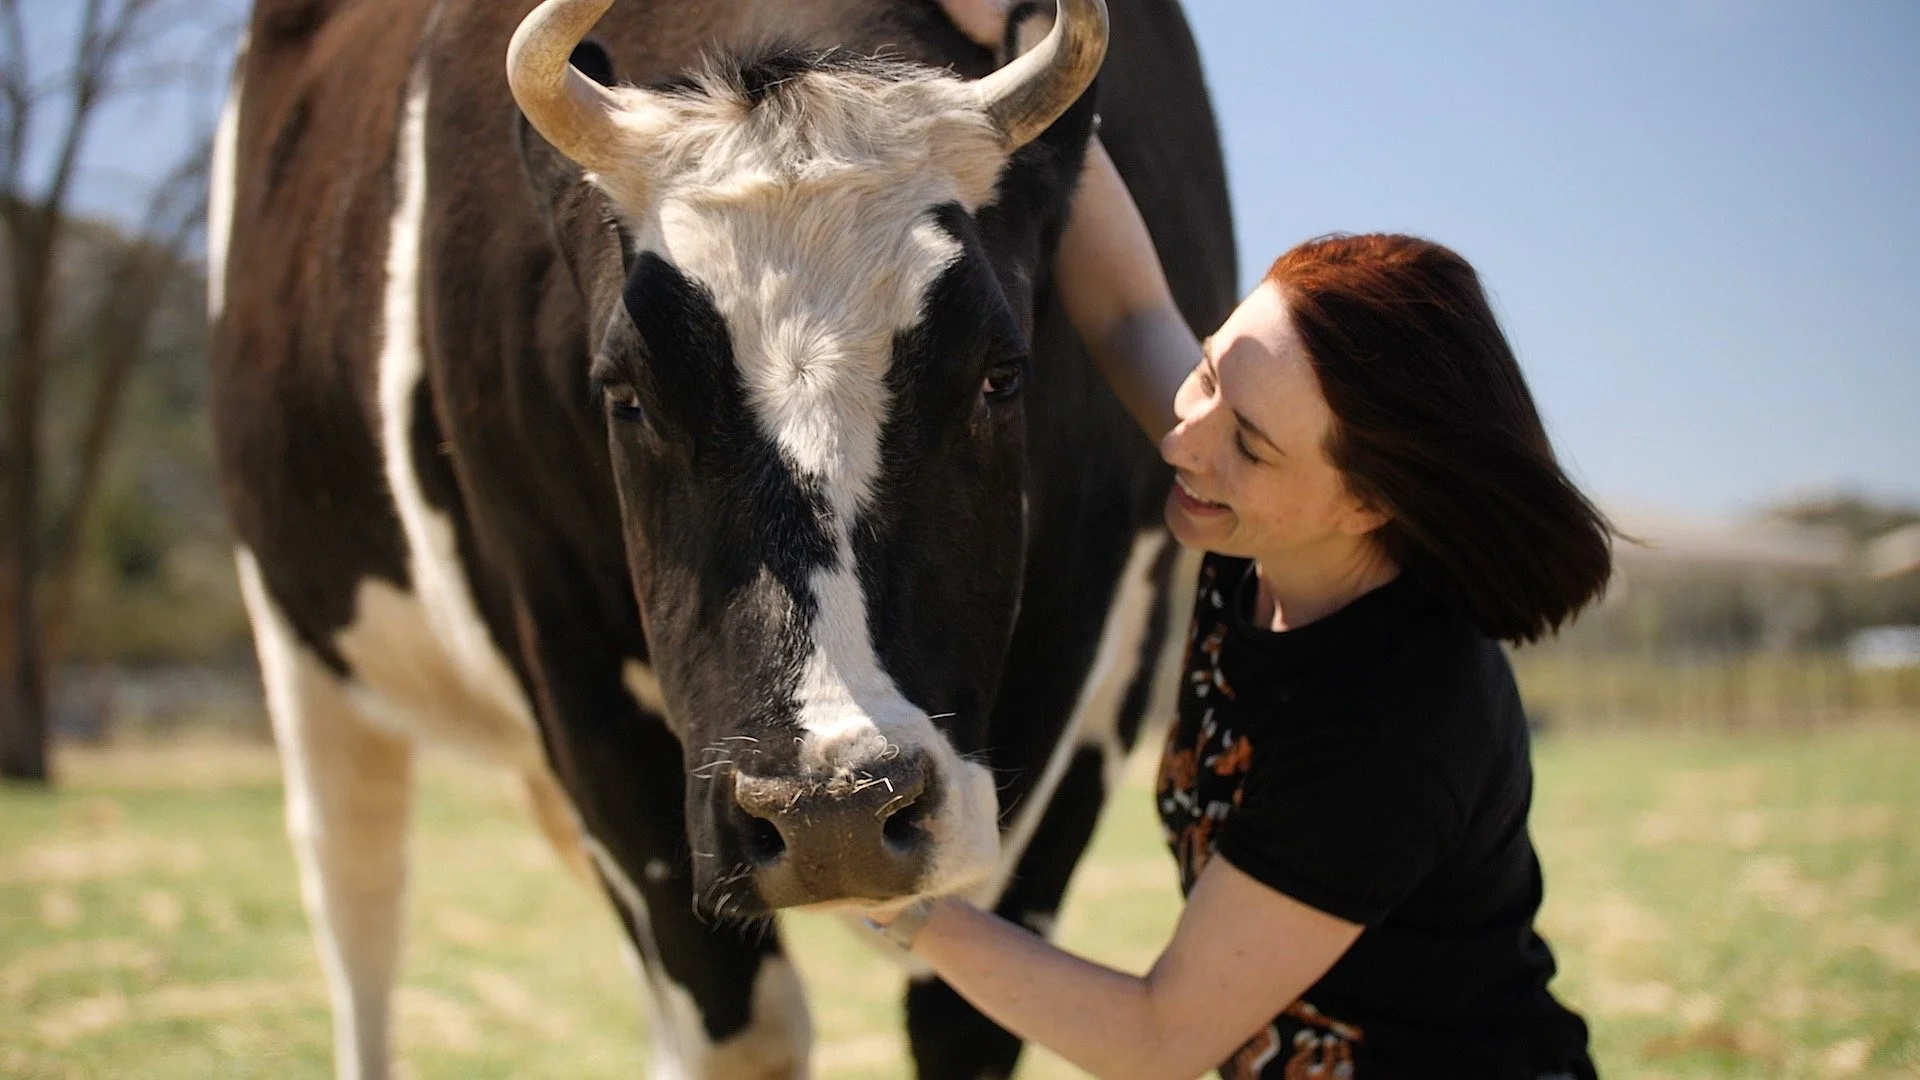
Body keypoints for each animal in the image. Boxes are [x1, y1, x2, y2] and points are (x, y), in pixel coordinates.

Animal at [208, 0, 1233, 1076]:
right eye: (625, 393)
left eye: (1001, 374)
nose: (833, 815)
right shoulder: (567, 668)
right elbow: (744, 1028)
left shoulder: (1114, 660)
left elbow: (969, 1018)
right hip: (301, 644)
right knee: (355, 892)